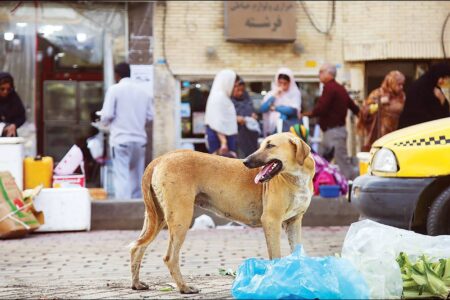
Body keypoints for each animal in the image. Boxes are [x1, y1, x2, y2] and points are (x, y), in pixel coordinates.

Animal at [128, 132, 314, 294]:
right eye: (262, 145)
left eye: (270, 145)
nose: (245, 161)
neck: (295, 177)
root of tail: (161, 158)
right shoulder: (271, 221)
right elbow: (275, 256)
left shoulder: (294, 222)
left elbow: (299, 254)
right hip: (180, 218)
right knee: (170, 258)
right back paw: (184, 288)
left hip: (156, 217)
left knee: (137, 248)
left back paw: (137, 284)